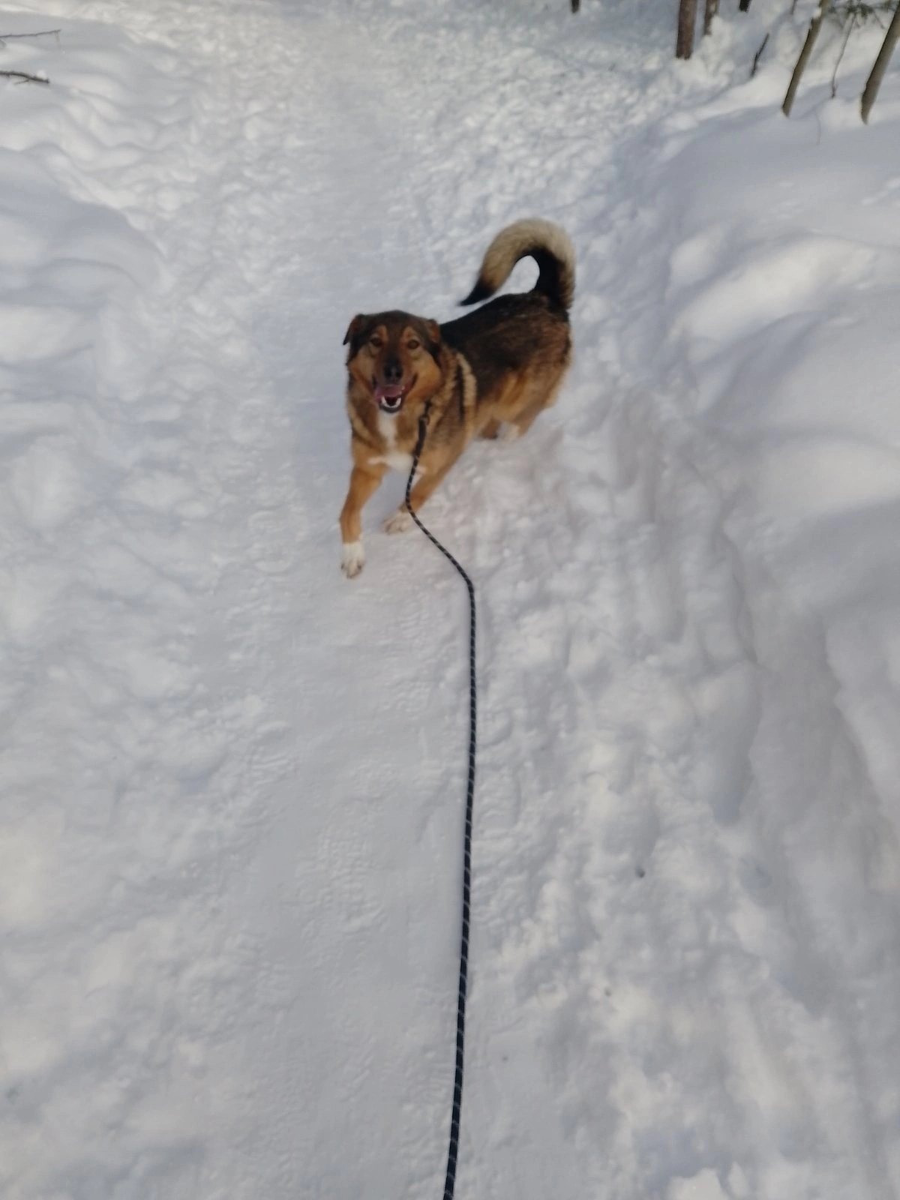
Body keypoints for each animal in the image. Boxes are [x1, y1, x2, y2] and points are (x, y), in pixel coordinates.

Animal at [338, 219, 578, 576]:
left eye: (413, 344)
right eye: (375, 342)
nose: (393, 372)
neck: (401, 417)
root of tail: (545, 297)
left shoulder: (439, 465)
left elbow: (417, 494)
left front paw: (400, 519)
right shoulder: (367, 468)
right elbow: (347, 512)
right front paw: (352, 552)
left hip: (516, 400)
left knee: (527, 415)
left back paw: (506, 441)